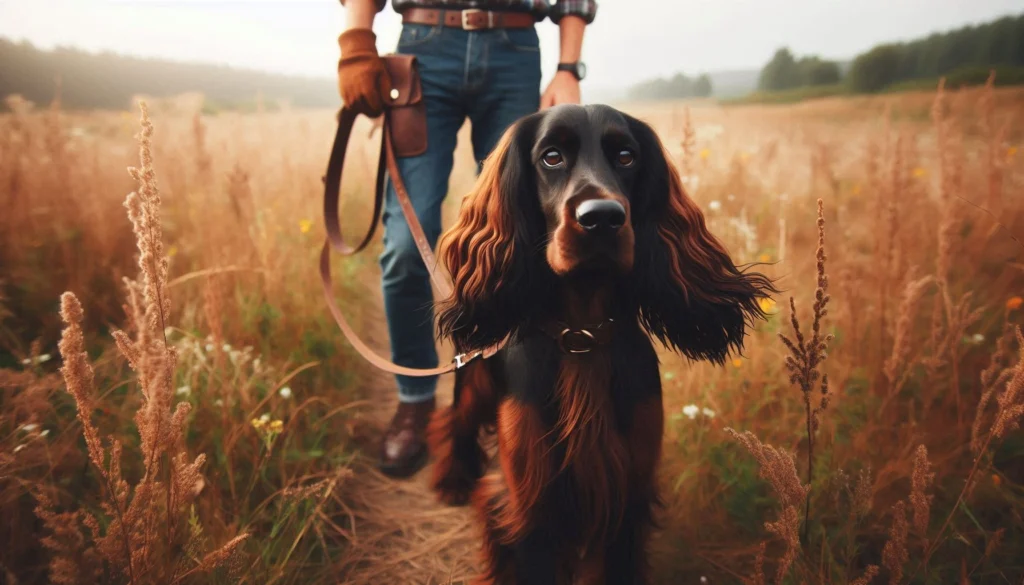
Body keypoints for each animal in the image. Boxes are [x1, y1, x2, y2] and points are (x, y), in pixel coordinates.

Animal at [421, 106, 770, 585]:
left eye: (626, 156)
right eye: (551, 156)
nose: (601, 218)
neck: (581, 334)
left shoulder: (628, 491)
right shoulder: (530, 501)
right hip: (474, 378)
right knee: (454, 421)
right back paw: (452, 481)